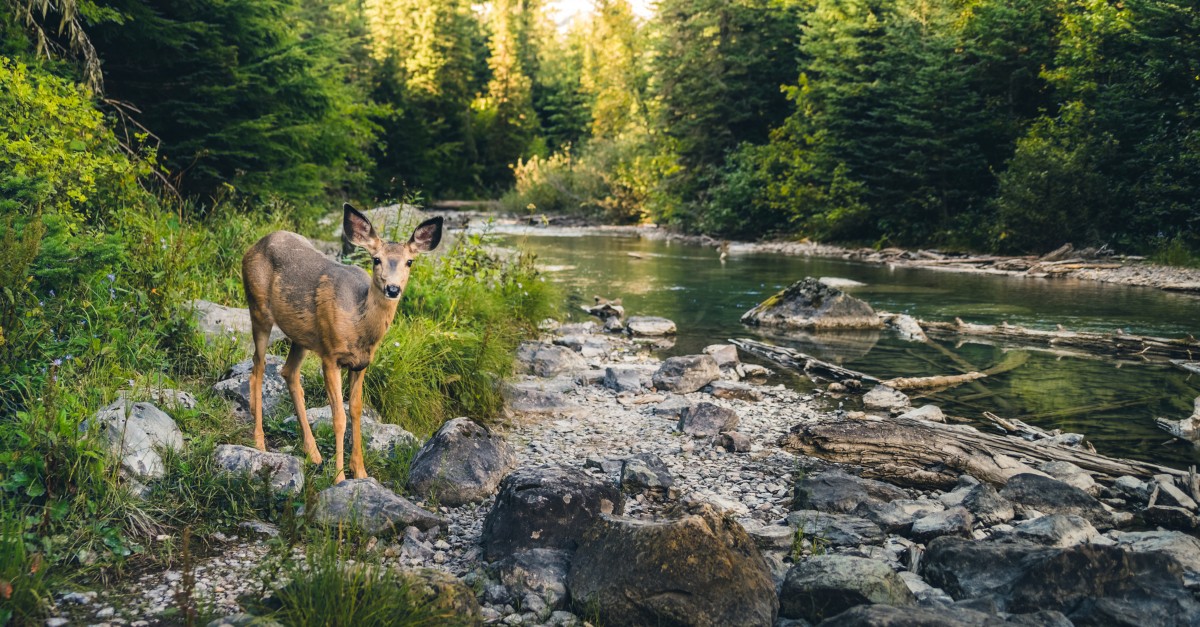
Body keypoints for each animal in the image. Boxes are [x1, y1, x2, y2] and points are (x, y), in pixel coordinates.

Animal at [242, 203, 443, 483]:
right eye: (376, 259)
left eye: (409, 261)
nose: (392, 289)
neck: (358, 325)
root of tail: (254, 246)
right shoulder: (330, 356)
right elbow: (338, 417)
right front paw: (339, 478)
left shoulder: (361, 363)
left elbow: (356, 411)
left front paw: (360, 471)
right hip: (258, 307)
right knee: (258, 368)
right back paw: (259, 442)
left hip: (302, 336)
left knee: (288, 372)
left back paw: (313, 453)